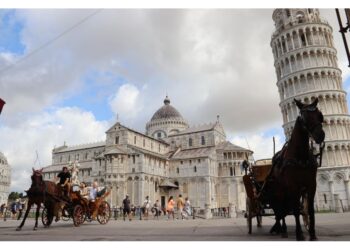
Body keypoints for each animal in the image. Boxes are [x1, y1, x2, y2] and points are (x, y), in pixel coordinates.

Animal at [268, 98, 326, 240]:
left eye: (320, 115)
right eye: (303, 117)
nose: (320, 135)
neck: (301, 157)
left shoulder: (311, 184)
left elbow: (309, 209)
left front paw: (312, 234)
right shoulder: (293, 185)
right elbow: (294, 210)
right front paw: (299, 235)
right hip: (280, 189)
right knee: (280, 208)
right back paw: (283, 230)